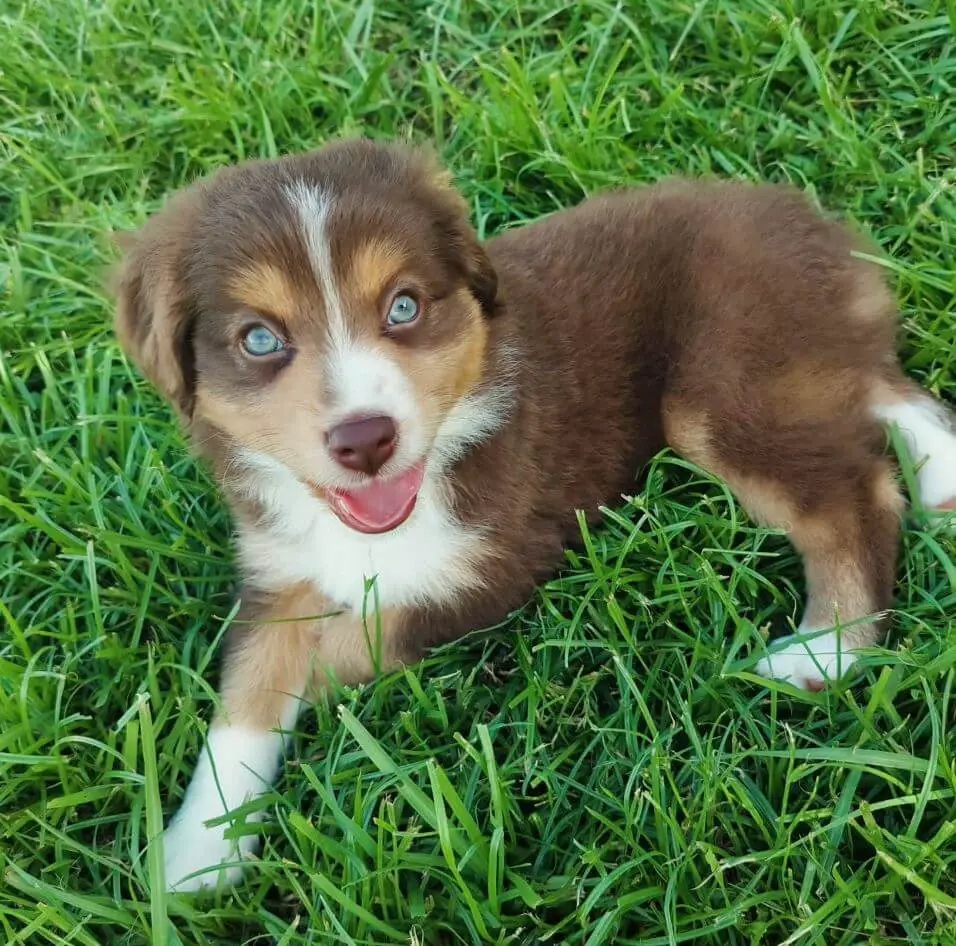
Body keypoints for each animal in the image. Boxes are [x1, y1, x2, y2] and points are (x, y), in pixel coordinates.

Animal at [114, 136, 956, 888]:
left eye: (403, 306)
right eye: (259, 340)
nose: (365, 440)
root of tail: (816, 224)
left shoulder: (499, 558)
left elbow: (343, 647)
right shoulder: (277, 570)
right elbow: (247, 691)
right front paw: (196, 854)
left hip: (728, 379)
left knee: (859, 492)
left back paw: (826, 651)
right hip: (799, 364)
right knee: (884, 393)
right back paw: (942, 480)